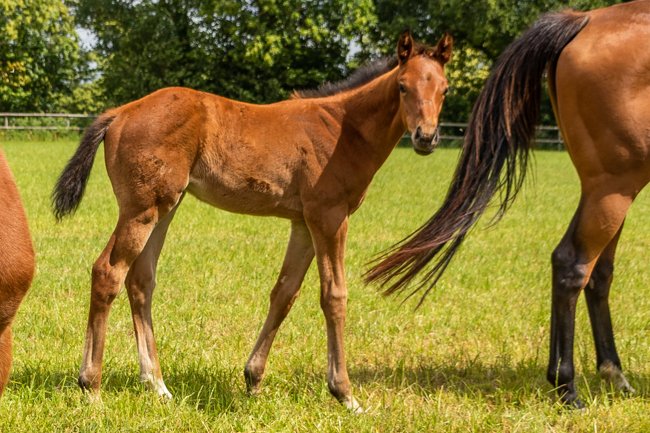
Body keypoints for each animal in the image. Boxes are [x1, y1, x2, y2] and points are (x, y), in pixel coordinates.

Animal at [52, 30, 453, 410]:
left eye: (444, 88)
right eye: (402, 86)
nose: (426, 137)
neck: (343, 128)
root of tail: (120, 112)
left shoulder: (303, 223)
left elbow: (285, 293)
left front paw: (254, 380)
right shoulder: (330, 216)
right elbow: (334, 295)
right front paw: (345, 394)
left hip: (165, 208)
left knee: (141, 280)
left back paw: (157, 385)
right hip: (141, 210)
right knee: (108, 272)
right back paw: (91, 387)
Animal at [366, 0, 650, 408]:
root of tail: (586, 19)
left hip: (608, 190)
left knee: (594, 272)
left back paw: (611, 376)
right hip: (614, 187)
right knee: (575, 265)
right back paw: (568, 388)